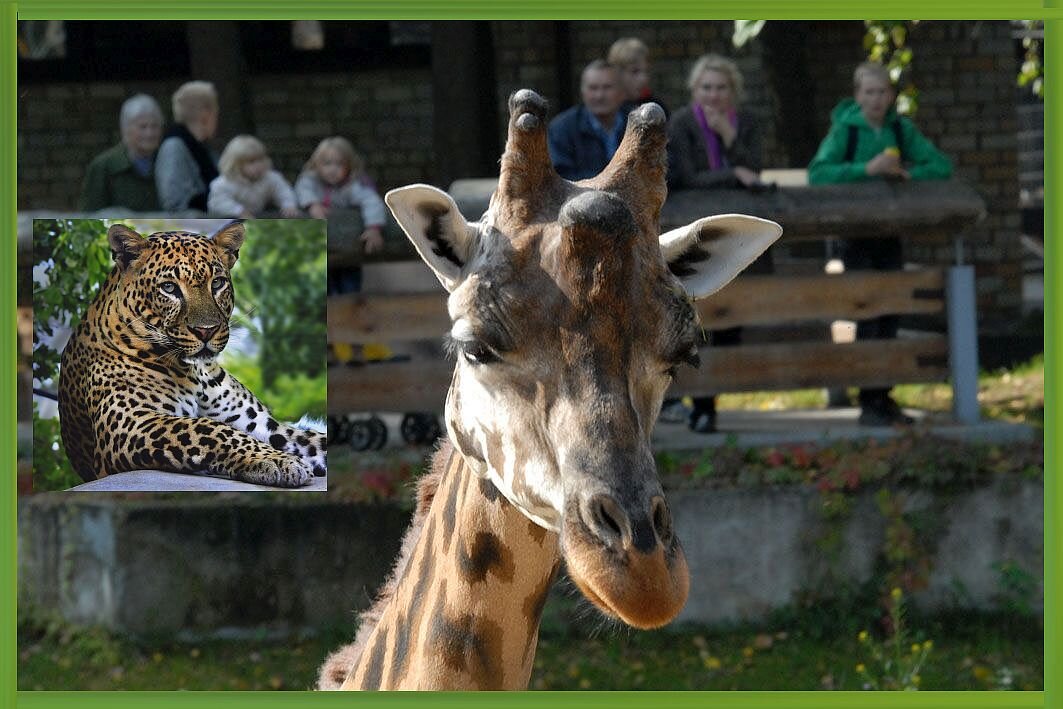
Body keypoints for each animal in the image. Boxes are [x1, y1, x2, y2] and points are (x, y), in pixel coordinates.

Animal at [57, 222, 323, 488]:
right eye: (169, 287)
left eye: (217, 283)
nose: (206, 330)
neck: (197, 373)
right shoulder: (131, 422)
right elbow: (210, 428)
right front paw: (276, 460)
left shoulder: (265, 425)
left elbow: (312, 441)